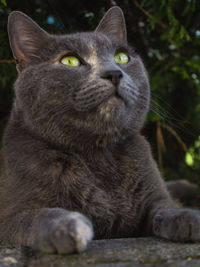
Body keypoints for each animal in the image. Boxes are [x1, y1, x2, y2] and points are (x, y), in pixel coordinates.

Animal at [0, 6, 199, 255]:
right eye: (70, 61)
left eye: (122, 57)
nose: (114, 73)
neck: (98, 155)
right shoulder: (7, 216)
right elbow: (36, 216)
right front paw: (68, 226)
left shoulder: (154, 195)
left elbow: (165, 207)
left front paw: (189, 217)